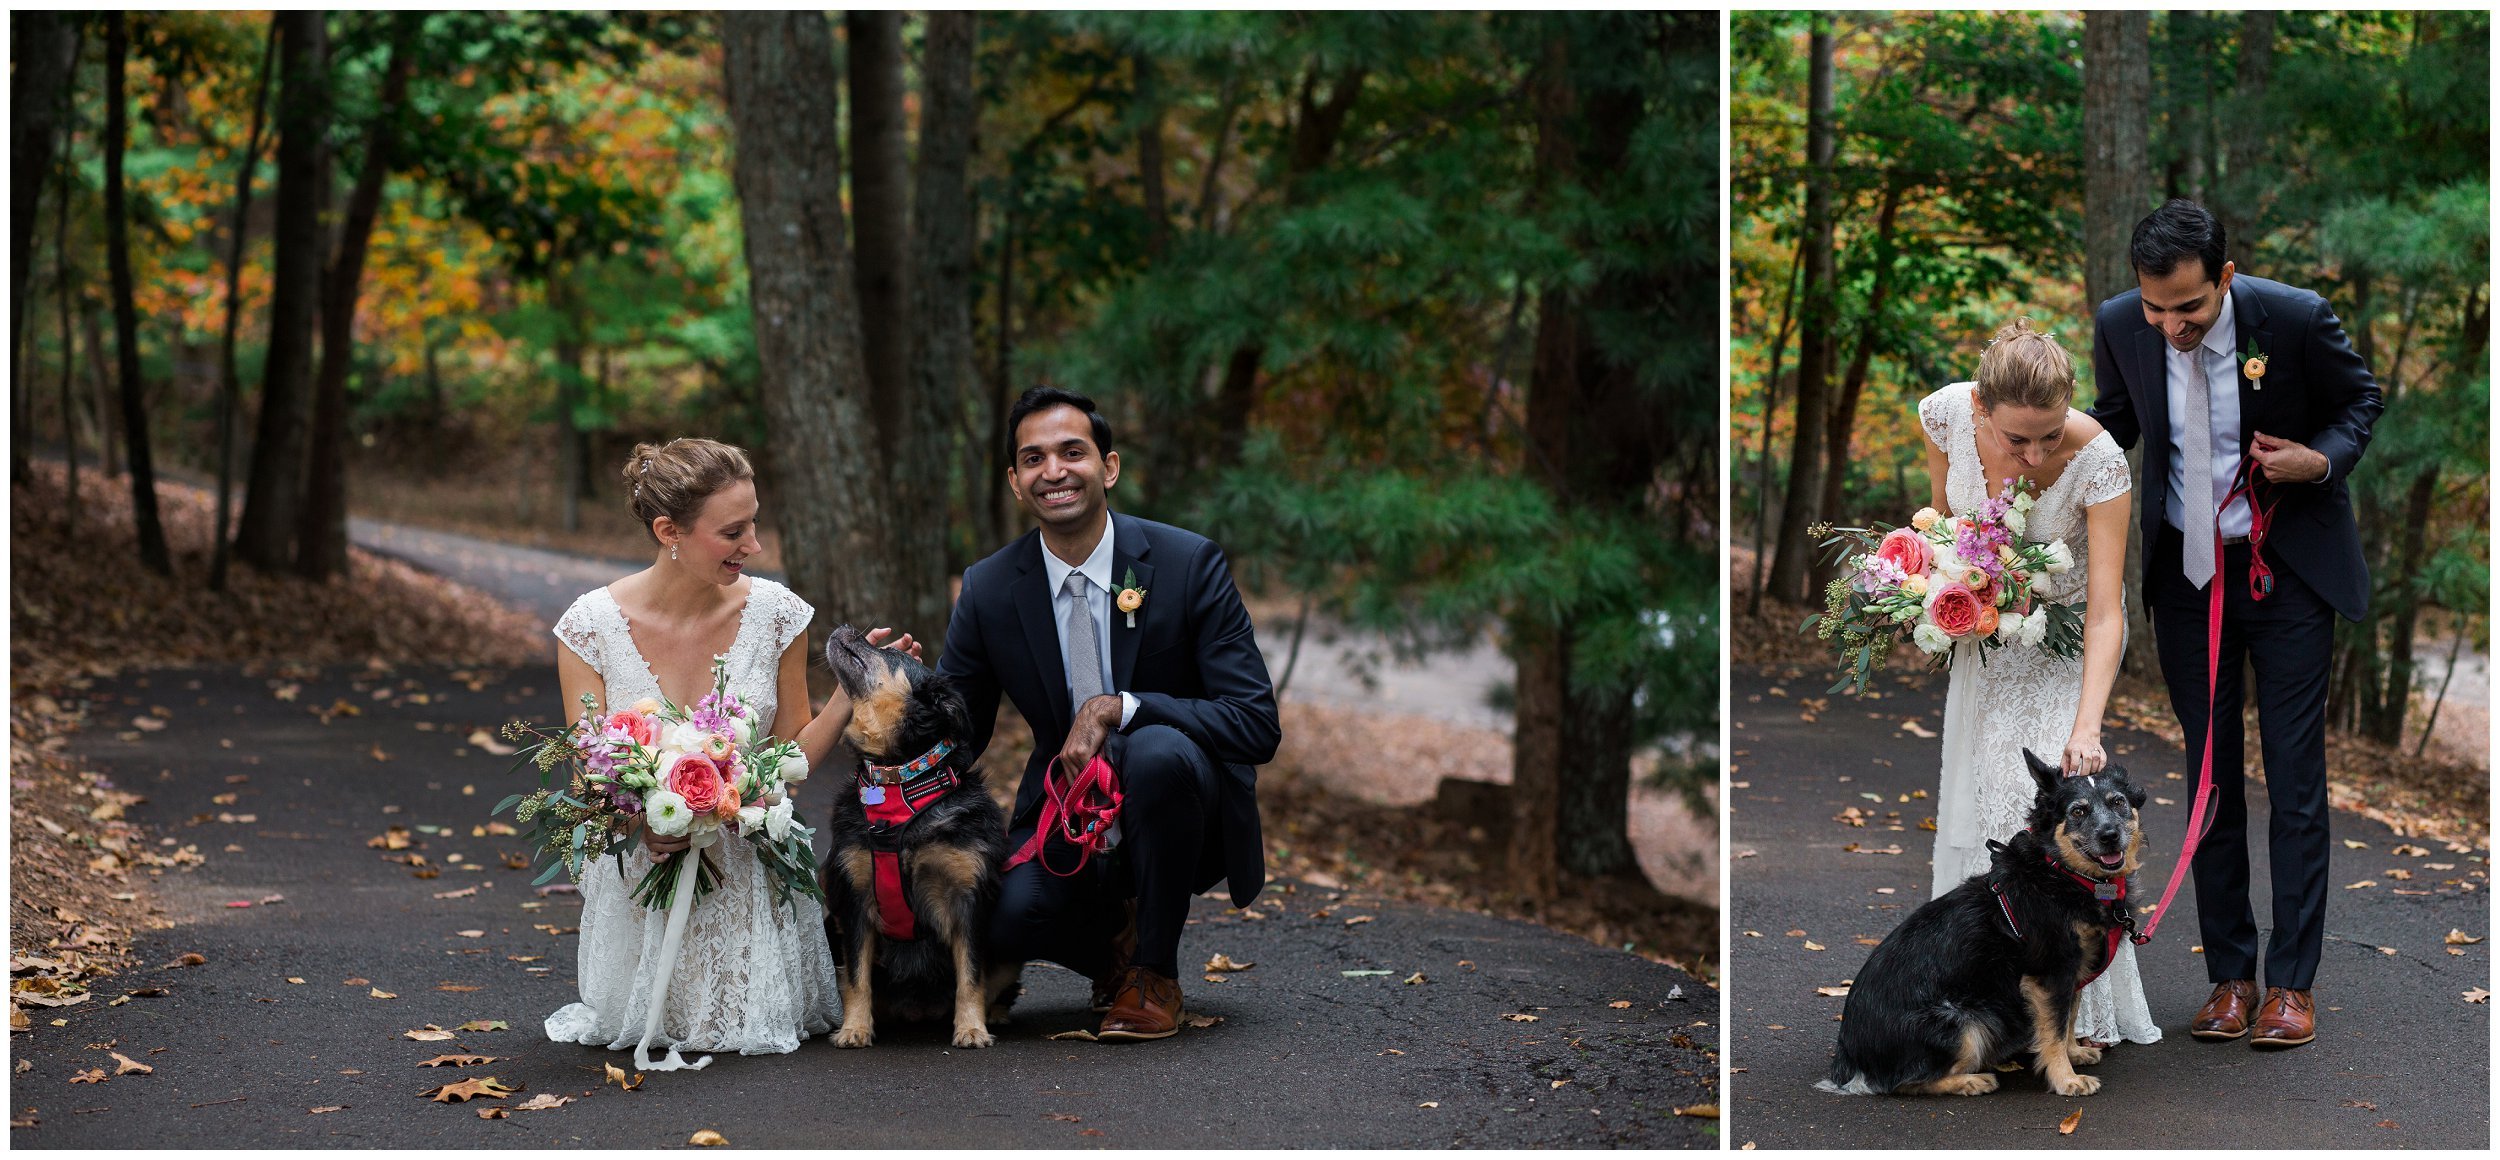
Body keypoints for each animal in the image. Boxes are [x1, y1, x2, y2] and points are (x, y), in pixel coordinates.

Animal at [820, 625, 1015, 1050]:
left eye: (891, 654)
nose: (846, 628)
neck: (901, 781)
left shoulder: (968, 899)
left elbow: (970, 975)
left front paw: (972, 1028)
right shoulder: (853, 900)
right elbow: (856, 978)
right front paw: (854, 1028)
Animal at [1820, 750, 2150, 1095]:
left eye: (2117, 802)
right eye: (2078, 811)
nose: (2110, 836)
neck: (2063, 874)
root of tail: (1849, 1060)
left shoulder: (2072, 969)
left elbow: (2069, 1016)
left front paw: (2075, 1053)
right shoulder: (2050, 972)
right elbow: (2055, 1031)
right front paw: (2066, 1079)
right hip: (1968, 1023)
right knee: (1904, 1083)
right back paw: (1972, 1081)